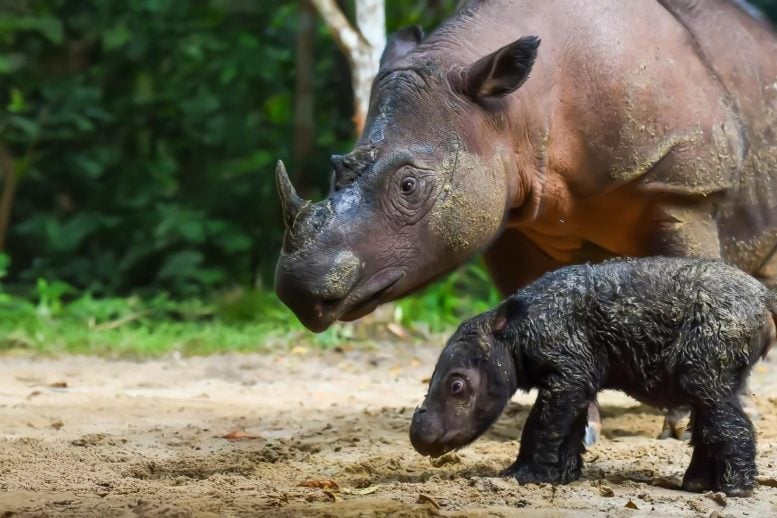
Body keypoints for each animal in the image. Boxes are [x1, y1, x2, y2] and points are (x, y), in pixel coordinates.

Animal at [274, 0, 777, 442]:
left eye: (409, 186)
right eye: (335, 167)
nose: (298, 289)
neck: (514, 113)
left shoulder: (682, 186)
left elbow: (696, 285)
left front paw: (683, 428)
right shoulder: (509, 216)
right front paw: (579, 426)